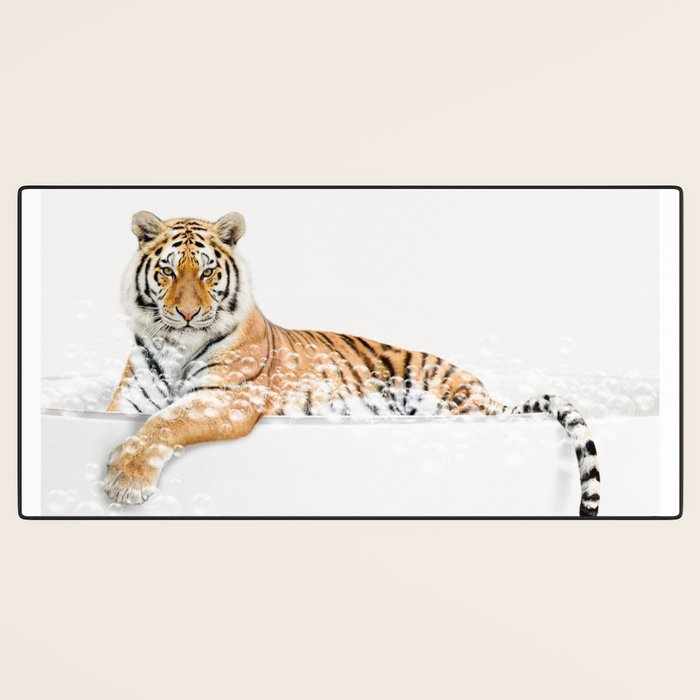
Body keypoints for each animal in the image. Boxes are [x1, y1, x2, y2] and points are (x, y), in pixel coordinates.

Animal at [105, 210, 601, 516]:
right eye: (168, 270)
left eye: (207, 272)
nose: (187, 314)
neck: (177, 346)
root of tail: (487, 394)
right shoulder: (128, 403)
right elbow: (148, 419)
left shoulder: (227, 397)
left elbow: (168, 422)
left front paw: (124, 481)